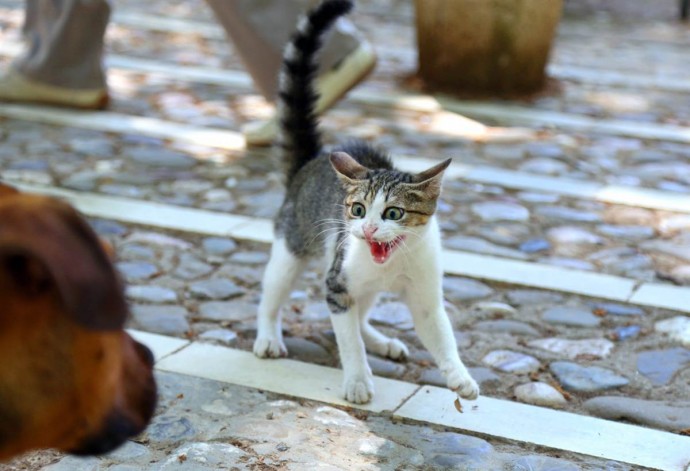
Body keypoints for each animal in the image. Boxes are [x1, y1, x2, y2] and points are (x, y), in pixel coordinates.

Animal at [254, 0, 478, 406]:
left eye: (393, 213)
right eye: (357, 209)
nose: (369, 227)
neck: (391, 264)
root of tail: (310, 162)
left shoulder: (425, 295)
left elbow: (440, 334)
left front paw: (459, 376)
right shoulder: (337, 285)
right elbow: (347, 338)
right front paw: (358, 379)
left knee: (361, 314)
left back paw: (381, 341)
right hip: (290, 249)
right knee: (272, 294)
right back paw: (267, 337)